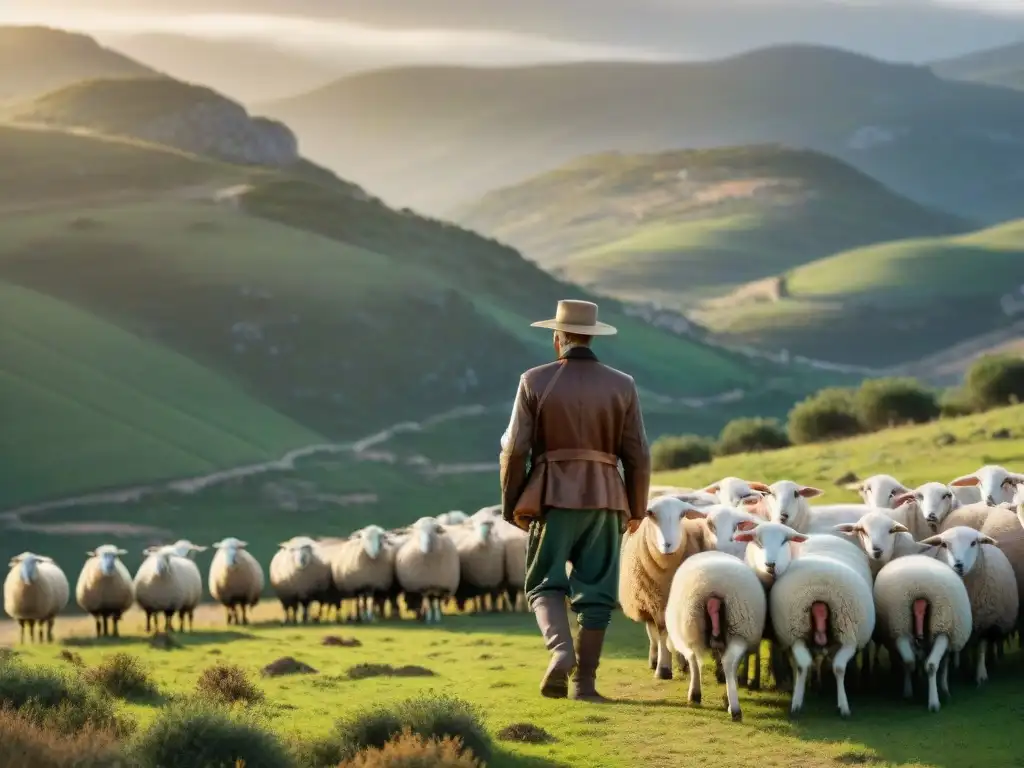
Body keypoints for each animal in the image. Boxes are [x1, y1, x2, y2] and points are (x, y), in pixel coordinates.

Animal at [618, 493, 708, 679]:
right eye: (650, 514)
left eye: (682, 515)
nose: (668, 544)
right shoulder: (655, 601)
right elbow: (661, 632)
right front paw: (663, 669)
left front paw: (683, 662)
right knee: (652, 633)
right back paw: (654, 660)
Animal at [667, 552, 765, 720]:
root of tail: (713, 588)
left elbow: (694, 661)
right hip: (739, 630)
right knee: (728, 662)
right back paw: (733, 706)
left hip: (693, 627)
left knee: (696, 660)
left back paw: (702, 696)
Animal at [770, 536, 872, 720]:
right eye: (815, 614)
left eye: (825, 615)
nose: (819, 636)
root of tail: (825, 535)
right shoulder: (796, 636)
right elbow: (802, 666)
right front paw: (796, 703)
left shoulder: (849, 640)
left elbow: (839, 668)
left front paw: (843, 706)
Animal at [872, 557, 974, 712]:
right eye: (914, 612)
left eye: (925, 611)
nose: (919, 636)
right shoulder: (910, 631)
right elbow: (920, 663)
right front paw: (920, 694)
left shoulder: (939, 631)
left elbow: (926, 664)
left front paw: (934, 696)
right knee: (918, 661)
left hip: (922, 628)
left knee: (926, 661)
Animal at [925, 528, 1019, 684]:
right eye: (944, 544)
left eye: (973, 543)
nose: (958, 565)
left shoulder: (985, 622)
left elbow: (981, 648)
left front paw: (981, 675)